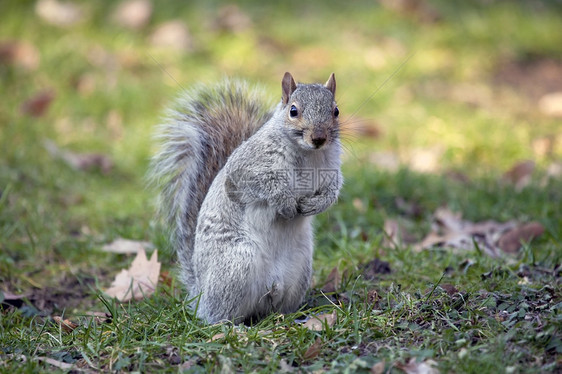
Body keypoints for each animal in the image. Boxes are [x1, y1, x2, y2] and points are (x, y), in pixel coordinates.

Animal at [149, 73, 342, 324]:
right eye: (293, 111)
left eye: (336, 111)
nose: (319, 138)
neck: (308, 153)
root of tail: (200, 293)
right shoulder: (246, 167)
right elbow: (262, 183)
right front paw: (285, 201)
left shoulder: (332, 170)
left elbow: (331, 192)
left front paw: (315, 205)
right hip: (237, 264)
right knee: (217, 315)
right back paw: (232, 326)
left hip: (299, 270)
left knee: (275, 309)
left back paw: (294, 318)